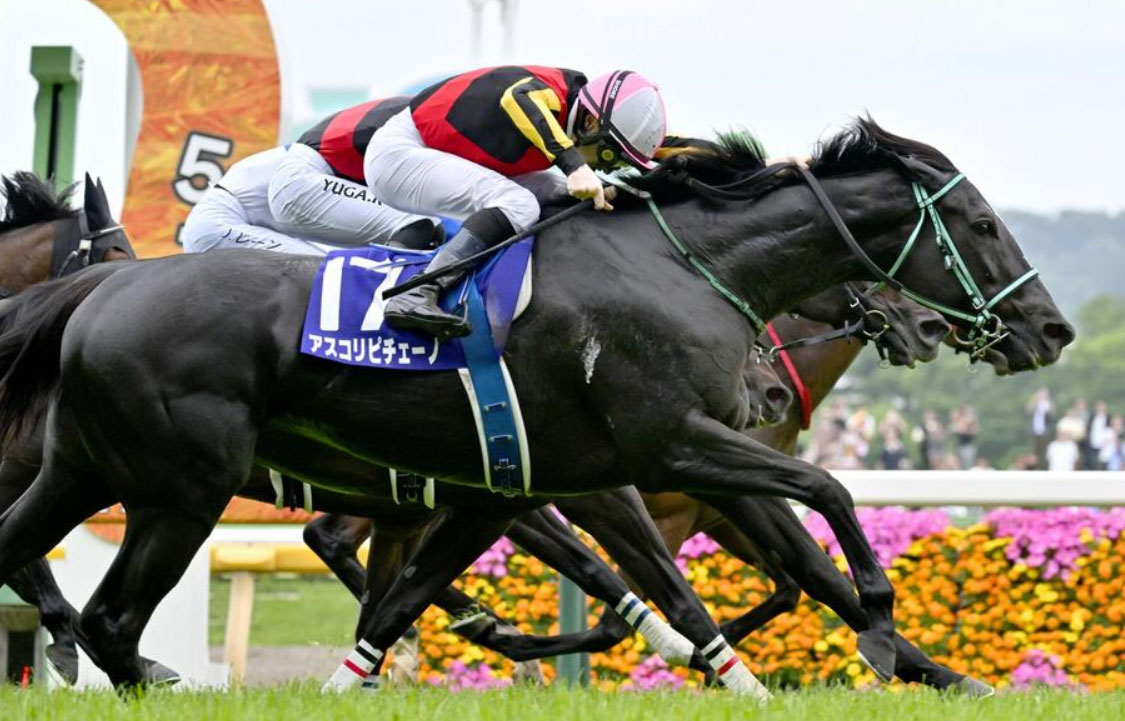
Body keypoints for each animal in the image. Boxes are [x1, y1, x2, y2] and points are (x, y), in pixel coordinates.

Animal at [0, 120, 1073, 692]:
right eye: (980, 223)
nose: (1051, 329)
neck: (680, 267)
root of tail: (97, 291)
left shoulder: (522, 482)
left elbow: (406, 599)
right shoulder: (660, 452)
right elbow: (820, 500)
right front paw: (869, 634)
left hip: (83, 467)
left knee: (46, 567)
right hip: (186, 486)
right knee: (112, 617)